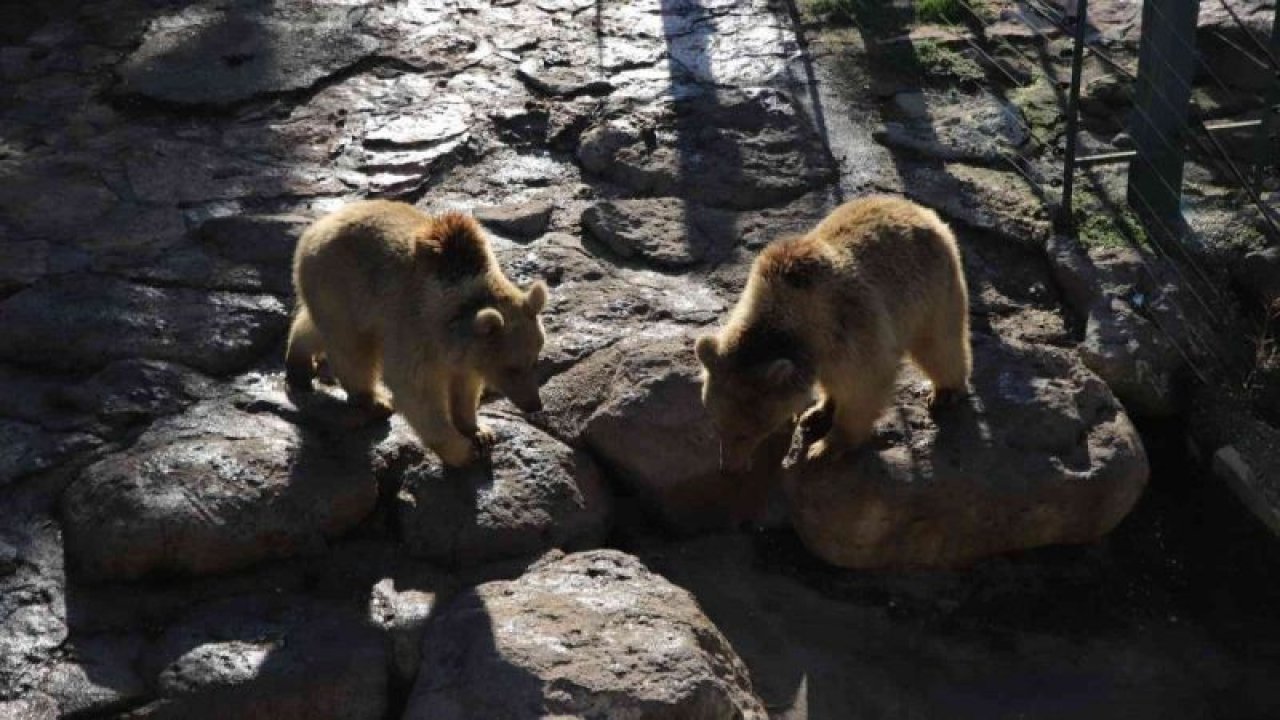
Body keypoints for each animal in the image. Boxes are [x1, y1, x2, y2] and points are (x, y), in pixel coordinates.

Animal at [288, 198, 547, 466]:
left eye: (534, 360)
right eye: (512, 367)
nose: (534, 405)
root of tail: (317, 226)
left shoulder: (463, 352)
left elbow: (465, 385)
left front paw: (479, 432)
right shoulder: (415, 328)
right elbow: (416, 389)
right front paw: (462, 451)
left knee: (317, 327)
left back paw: (299, 365)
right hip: (343, 285)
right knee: (353, 349)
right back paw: (374, 400)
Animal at [701, 193, 967, 468]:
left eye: (744, 433)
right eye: (717, 426)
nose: (729, 467)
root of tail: (918, 209)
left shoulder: (851, 327)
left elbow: (864, 384)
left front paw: (823, 448)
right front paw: (816, 413)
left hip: (929, 289)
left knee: (938, 343)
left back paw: (945, 392)